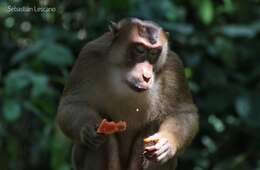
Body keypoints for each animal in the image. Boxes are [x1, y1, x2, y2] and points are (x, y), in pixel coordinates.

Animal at [57, 17, 199, 170]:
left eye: (154, 53)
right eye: (140, 49)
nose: (146, 76)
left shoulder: (174, 67)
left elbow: (183, 112)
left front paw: (166, 143)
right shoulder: (89, 56)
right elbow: (72, 103)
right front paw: (88, 129)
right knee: (101, 139)